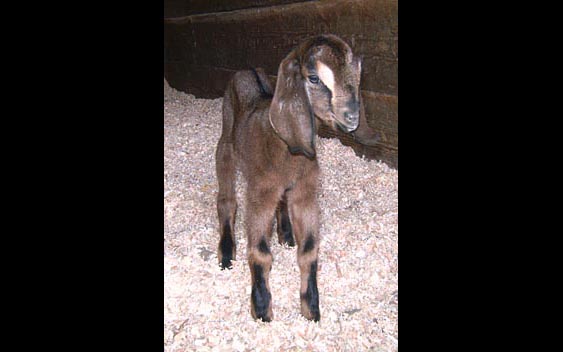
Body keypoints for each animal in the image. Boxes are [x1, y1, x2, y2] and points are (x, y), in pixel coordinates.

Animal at [214, 35, 364, 322]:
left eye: (355, 71)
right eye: (314, 77)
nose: (352, 117)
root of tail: (247, 69)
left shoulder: (305, 192)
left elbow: (309, 250)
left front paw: (311, 308)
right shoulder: (260, 193)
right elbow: (260, 252)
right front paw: (262, 308)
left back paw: (285, 232)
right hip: (225, 141)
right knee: (226, 199)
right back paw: (226, 253)